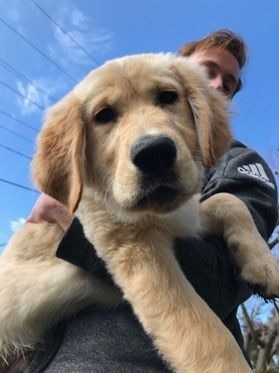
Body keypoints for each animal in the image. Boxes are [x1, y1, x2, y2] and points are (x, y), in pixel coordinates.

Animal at [1, 53, 278, 370]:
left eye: (167, 97)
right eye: (104, 115)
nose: (154, 154)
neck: (158, 214)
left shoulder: (185, 217)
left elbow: (229, 201)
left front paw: (264, 265)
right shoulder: (135, 247)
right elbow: (204, 331)